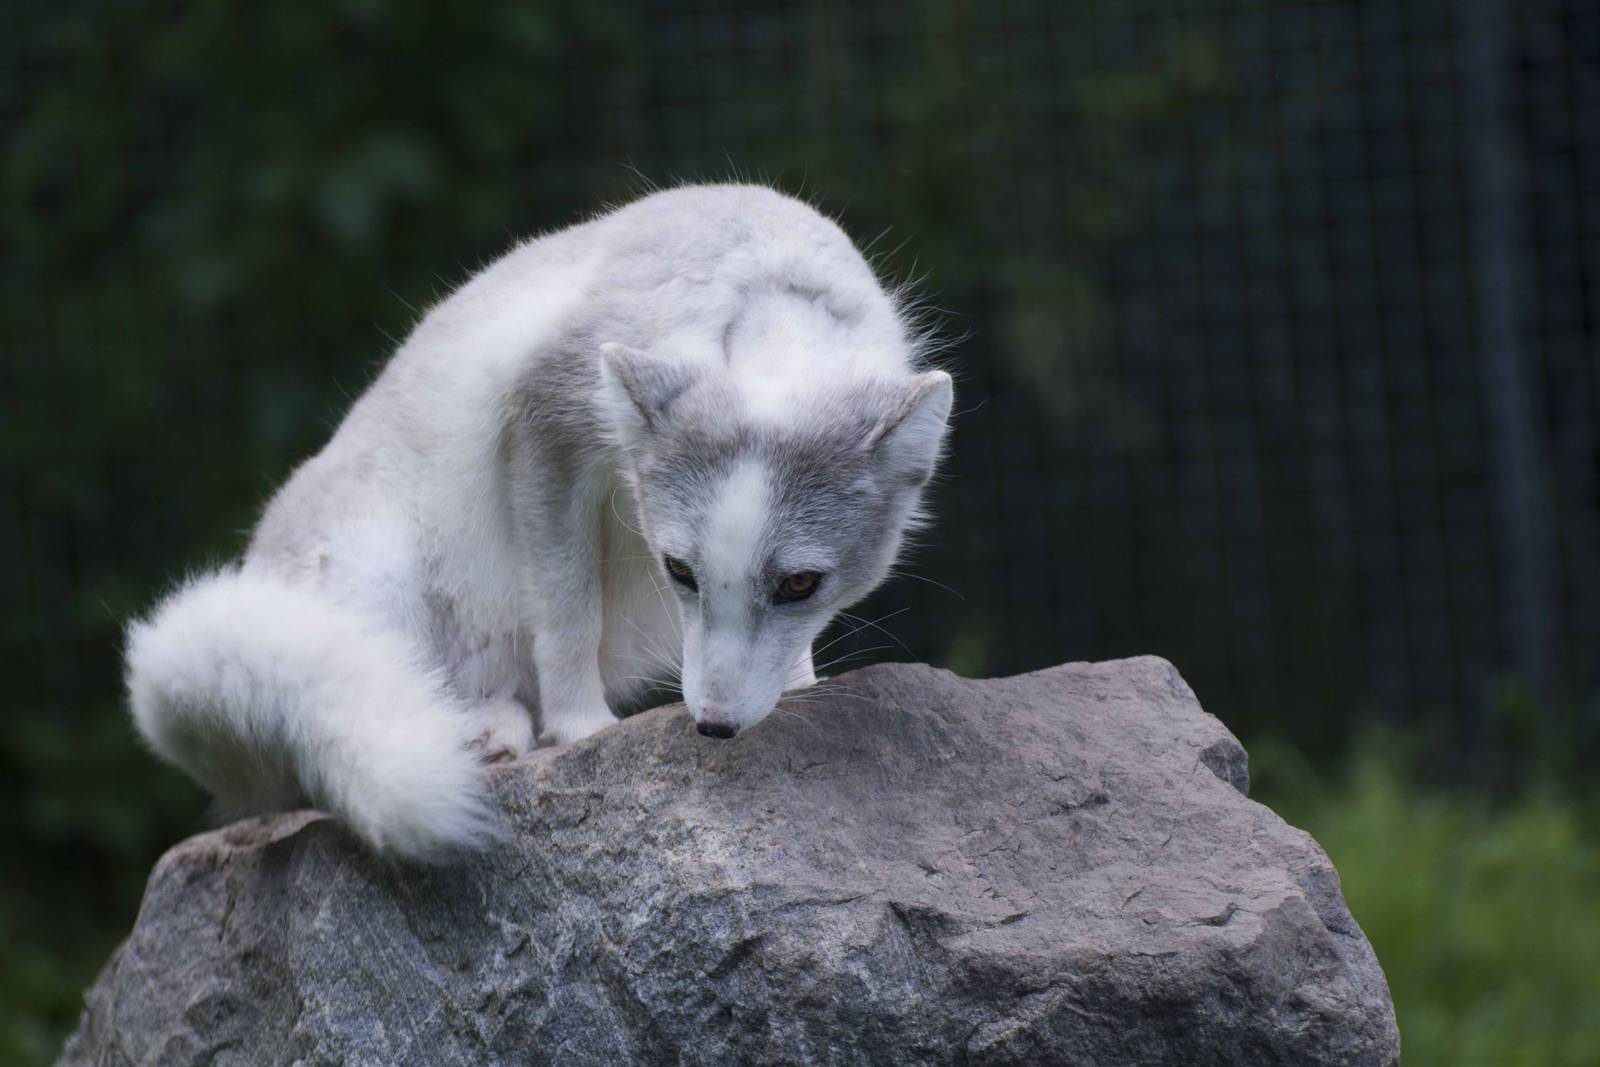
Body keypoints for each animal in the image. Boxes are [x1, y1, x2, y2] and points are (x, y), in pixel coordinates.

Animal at [124, 184, 953, 861]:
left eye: (800, 584)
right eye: (679, 572)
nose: (714, 728)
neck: (761, 309)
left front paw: (800, 685)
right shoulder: (544, 421)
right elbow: (566, 610)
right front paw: (583, 730)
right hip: (371, 576)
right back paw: (479, 733)